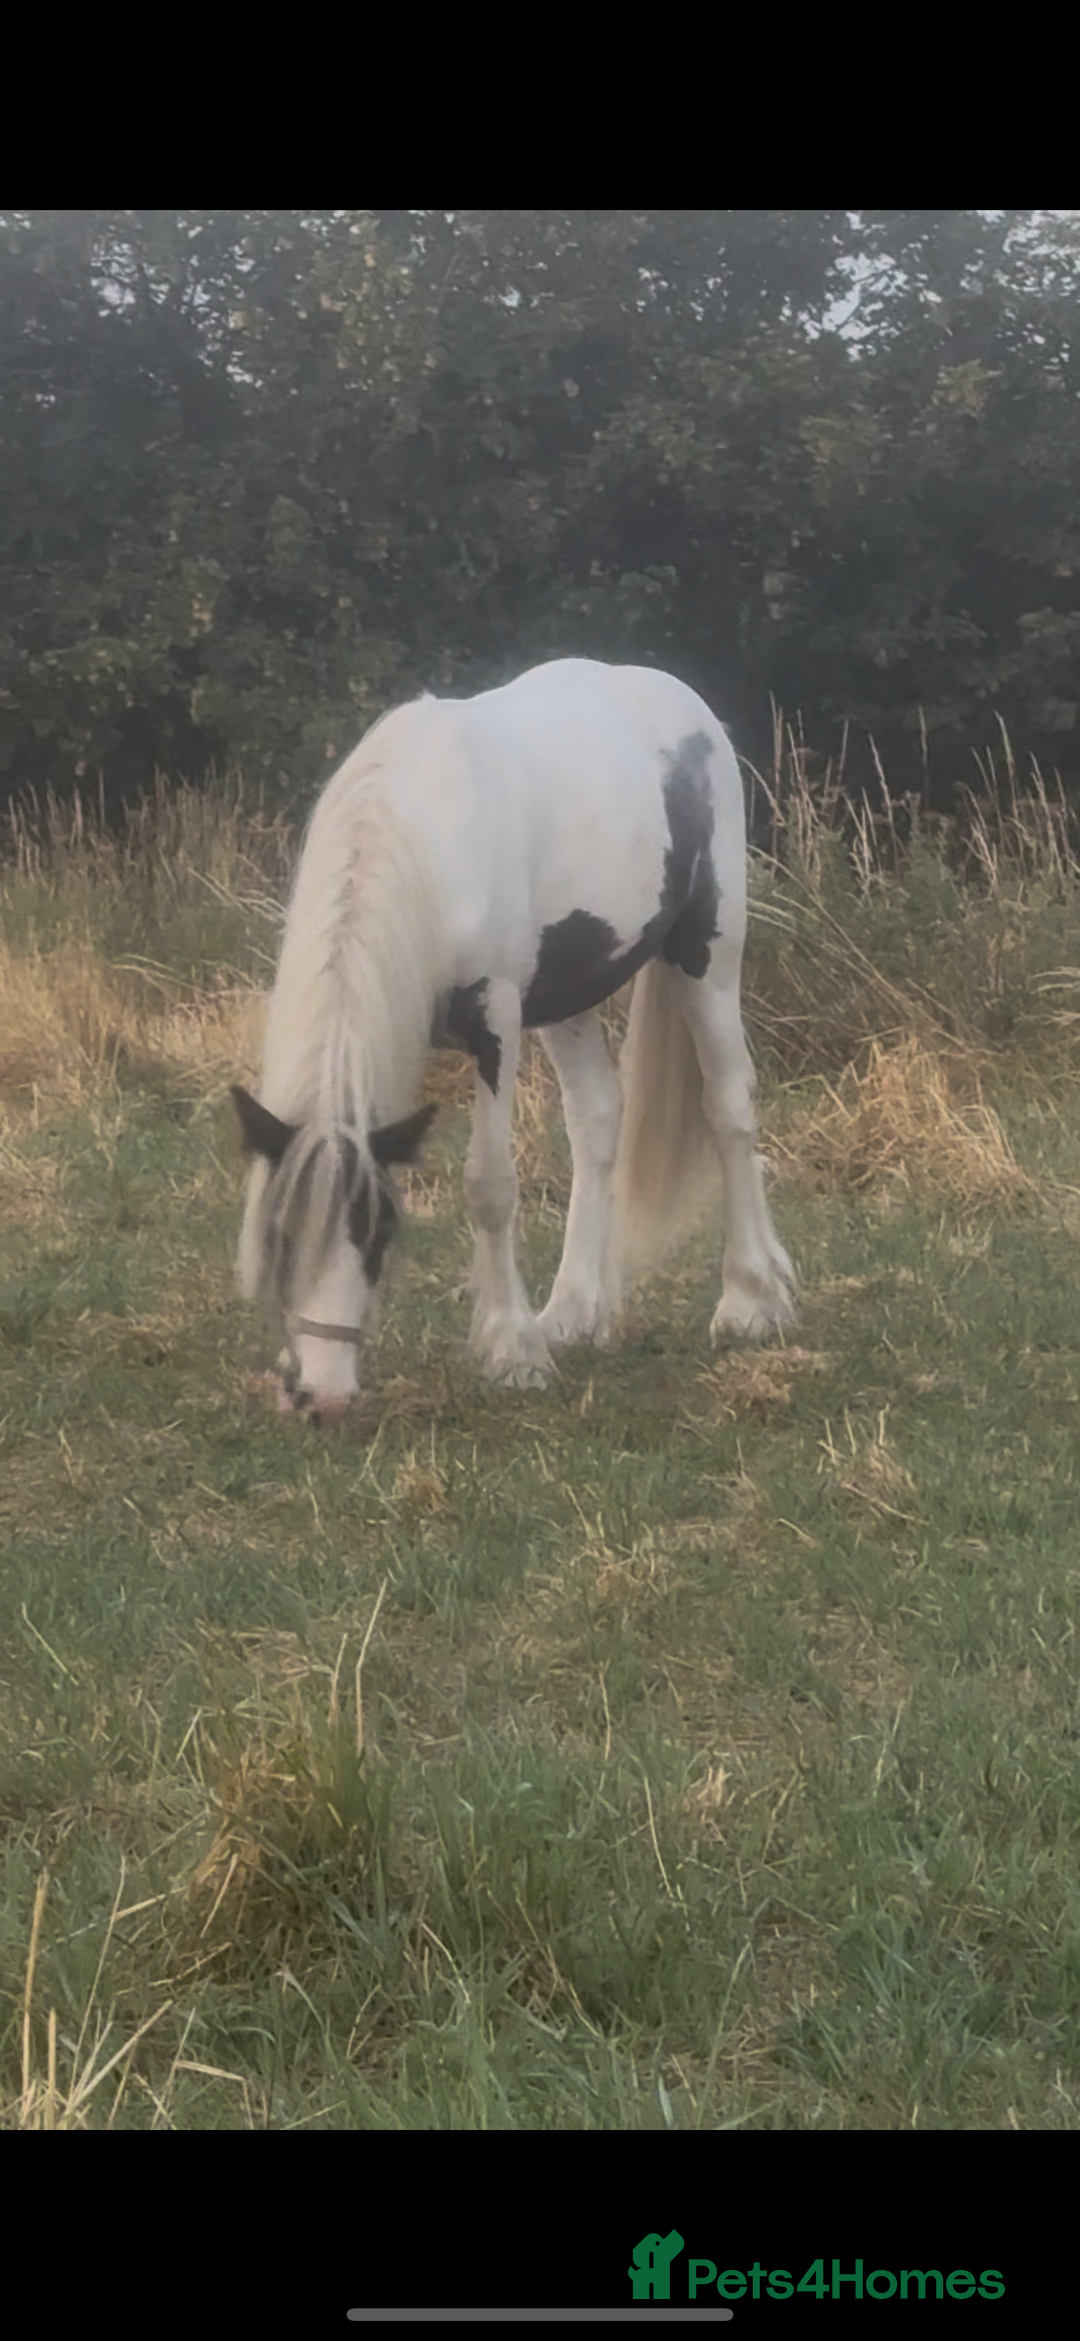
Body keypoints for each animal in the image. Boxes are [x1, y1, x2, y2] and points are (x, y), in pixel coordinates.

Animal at [231, 657, 794, 1421]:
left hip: (707, 953)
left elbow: (489, 1185)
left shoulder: (494, 1023)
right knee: (597, 1119)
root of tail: (679, 698)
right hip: (565, 999)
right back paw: (574, 1311)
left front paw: (511, 1352)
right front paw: (537, 1333)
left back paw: (751, 1300)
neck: (425, 838)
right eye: (281, 1237)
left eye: (378, 1230)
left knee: (729, 1107)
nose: (324, 1397)